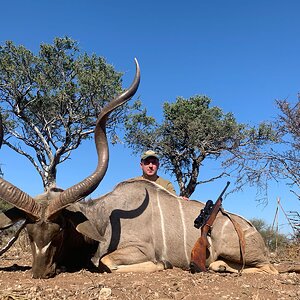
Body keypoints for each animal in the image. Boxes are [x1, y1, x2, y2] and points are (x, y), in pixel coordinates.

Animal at [1, 59, 280, 278]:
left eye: (59, 230)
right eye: (29, 232)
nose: (40, 272)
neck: (102, 220)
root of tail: (255, 233)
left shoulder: (137, 250)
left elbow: (106, 263)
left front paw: (162, 265)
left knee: (269, 269)